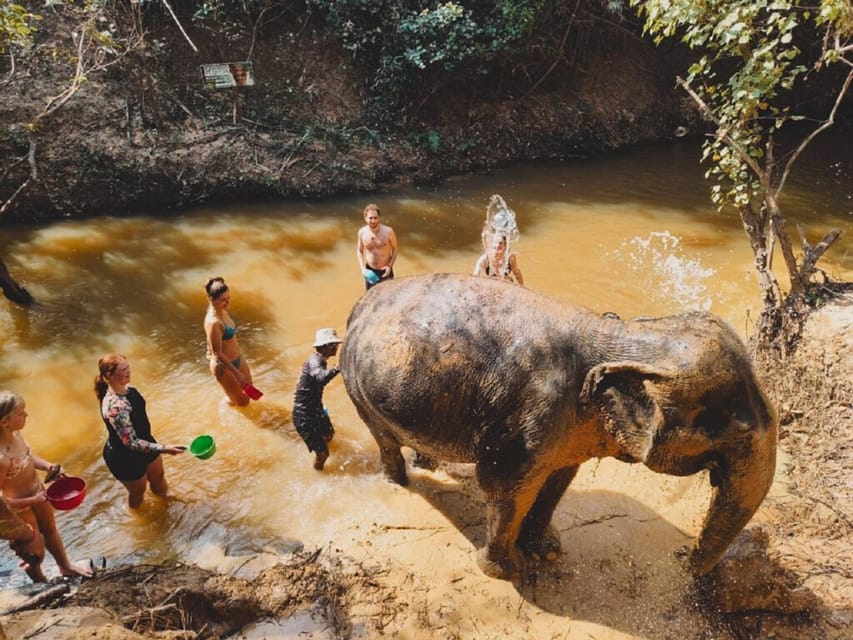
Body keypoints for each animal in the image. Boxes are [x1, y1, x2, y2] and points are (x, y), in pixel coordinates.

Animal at [338, 274, 772, 580]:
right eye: (734, 429)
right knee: (383, 439)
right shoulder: (525, 421)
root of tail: (360, 304)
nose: (682, 558)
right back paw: (399, 482)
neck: (619, 336)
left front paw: (545, 548)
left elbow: (558, 479)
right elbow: (505, 486)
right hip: (356, 387)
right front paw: (503, 570)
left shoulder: (571, 430)